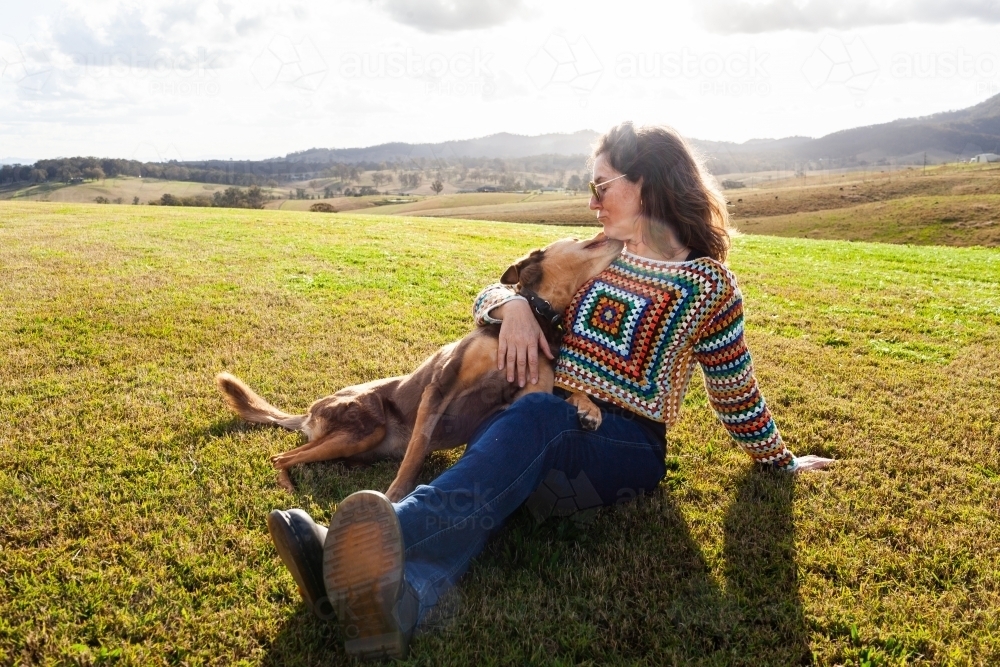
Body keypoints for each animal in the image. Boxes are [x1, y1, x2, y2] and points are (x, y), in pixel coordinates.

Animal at [219, 234, 620, 500]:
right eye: (579, 238)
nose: (610, 232)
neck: (538, 317)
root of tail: (309, 411)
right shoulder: (442, 384)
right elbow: (418, 448)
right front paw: (396, 495)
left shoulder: (528, 393)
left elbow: (561, 394)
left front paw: (589, 407)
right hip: (363, 427)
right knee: (280, 456)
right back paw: (287, 486)